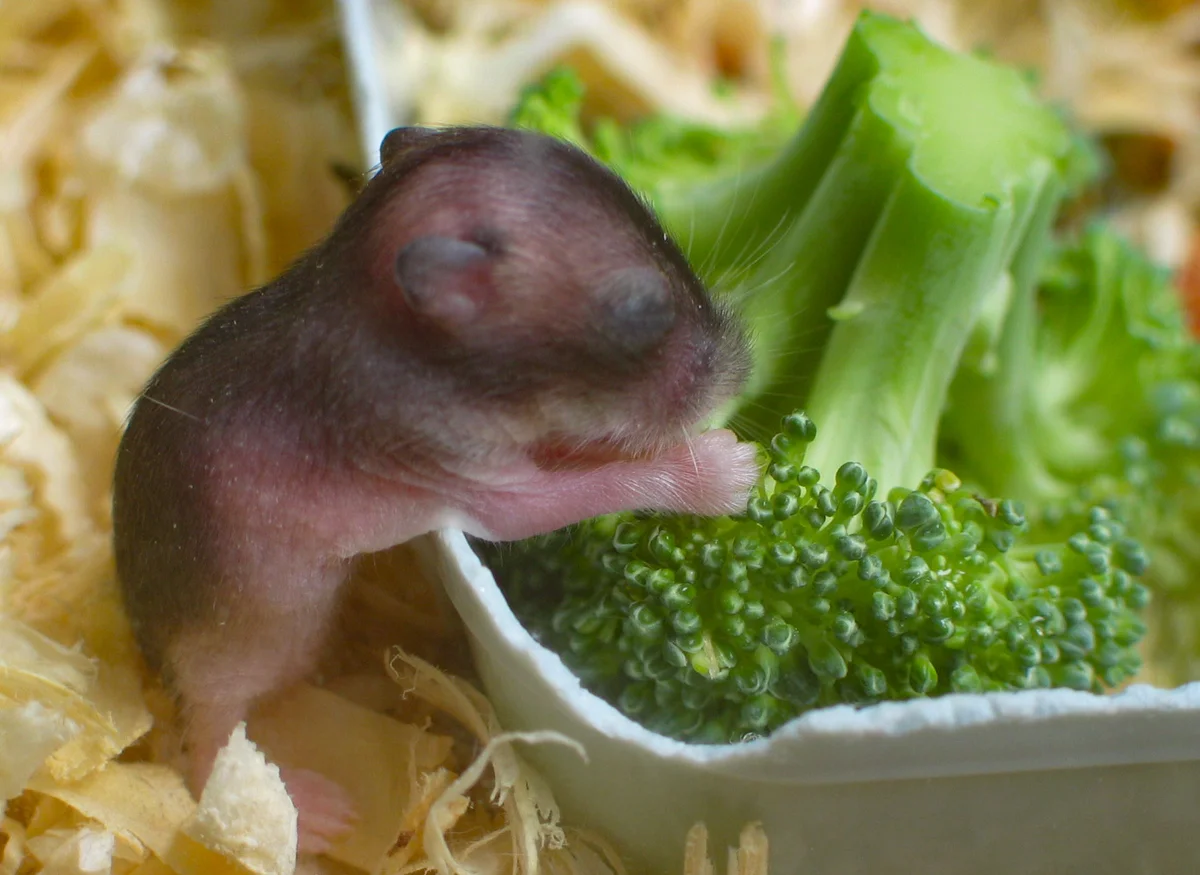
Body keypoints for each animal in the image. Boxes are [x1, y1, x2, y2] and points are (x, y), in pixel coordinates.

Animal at [112, 125, 758, 852]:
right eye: (644, 313)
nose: (743, 366)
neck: (359, 298)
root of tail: (154, 663)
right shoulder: (465, 468)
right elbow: (571, 493)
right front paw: (723, 466)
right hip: (229, 657)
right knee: (209, 754)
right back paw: (310, 811)